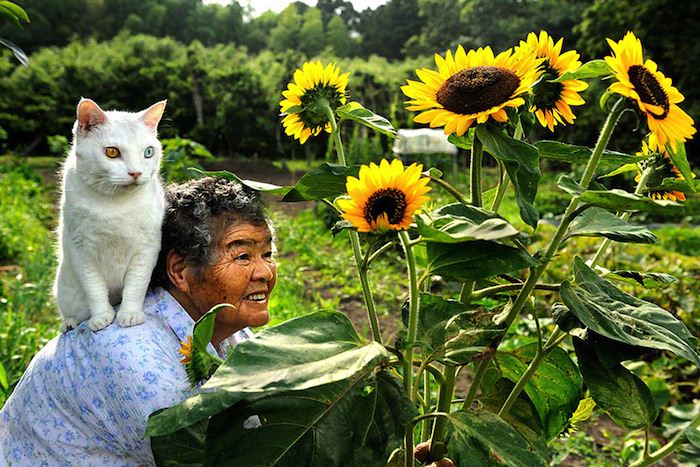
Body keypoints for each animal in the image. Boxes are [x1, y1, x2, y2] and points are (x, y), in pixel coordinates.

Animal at [54, 98, 167, 332]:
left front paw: (130, 315)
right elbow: (94, 287)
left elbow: (136, 285)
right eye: (112, 152)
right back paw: (69, 323)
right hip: (65, 290)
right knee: (71, 312)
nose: (136, 173)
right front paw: (101, 317)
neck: (115, 204)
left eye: (148, 152)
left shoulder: (147, 248)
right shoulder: (81, 250)